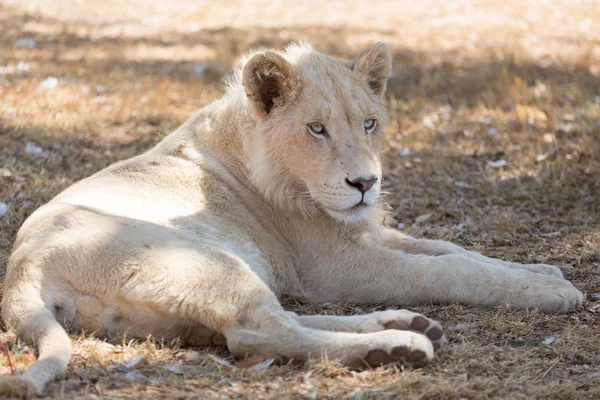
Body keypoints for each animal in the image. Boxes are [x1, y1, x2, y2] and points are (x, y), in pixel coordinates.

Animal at [0, 41, 584, 396]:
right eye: (317, 129)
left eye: (369, 123)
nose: (365, 184)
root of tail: (23, 271)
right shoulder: (334, 265)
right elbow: (446, 270)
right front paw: (553, 290)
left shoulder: (363, 233)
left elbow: (453, 250)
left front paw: (543, 272)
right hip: (207, 261)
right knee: (258, 332)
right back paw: (398, 346)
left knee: (276, 319)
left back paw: (400, 326)